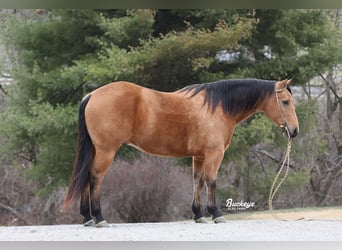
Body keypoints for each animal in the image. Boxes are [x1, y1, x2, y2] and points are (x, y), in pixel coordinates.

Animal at [62, 78, 298, 227]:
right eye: (285, 102)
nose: (294, 131)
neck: (218, 107)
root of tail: (92, 95)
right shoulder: (214, 154)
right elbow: (211, 181)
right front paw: (216, 213)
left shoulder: (199, 156)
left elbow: (198, 182)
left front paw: (198, 215)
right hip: (106, 151)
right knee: (94, 178)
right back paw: (99, 218)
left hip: (96, 151)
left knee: (86, 177)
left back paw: (87, 218)